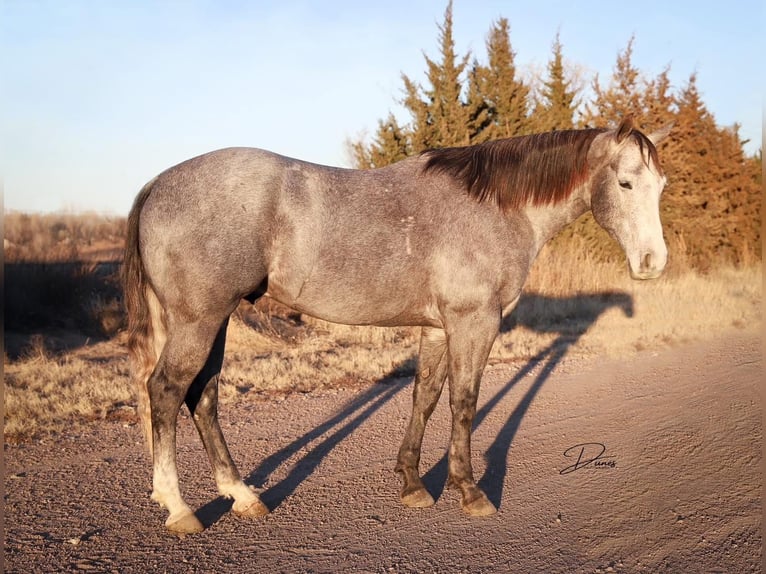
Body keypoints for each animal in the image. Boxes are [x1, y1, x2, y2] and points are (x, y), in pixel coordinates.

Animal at [123, 117, 668, 536]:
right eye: (625, 183)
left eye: (660, 187)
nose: (652, 263)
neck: (494, 207)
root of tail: (158, 183)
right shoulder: (475, 321)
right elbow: (464, 402)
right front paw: (470, 491)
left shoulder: (438, 327)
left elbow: (424, 396)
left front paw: (411, 484)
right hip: (199, 321)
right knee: (167, 391)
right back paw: (180, 509)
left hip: (214, 321)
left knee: (204, 397)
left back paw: (243, 496)